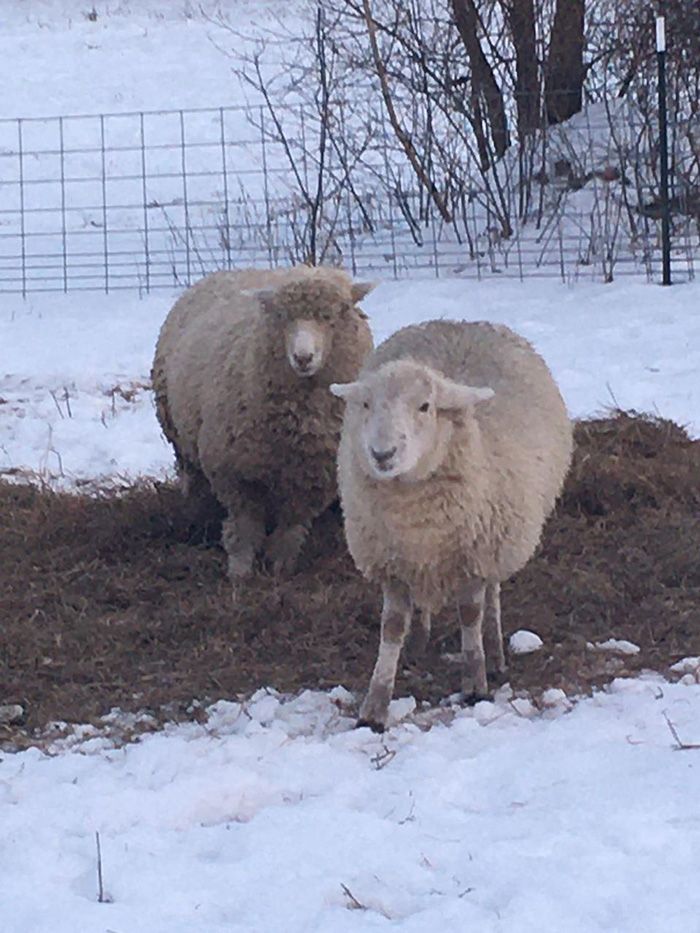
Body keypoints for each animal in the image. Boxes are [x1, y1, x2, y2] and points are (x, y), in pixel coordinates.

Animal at [152, 266, 374, 589]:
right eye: (281, 316)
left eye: (336, 313)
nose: (303, 357)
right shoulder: (234, 473)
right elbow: (244, 527)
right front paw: (240, 572)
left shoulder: (312, 479)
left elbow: (290, 527)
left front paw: (279, 566)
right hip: (175, 429)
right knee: (190, 476)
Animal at [330, 319, 572, 732]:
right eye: (365, 404)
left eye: (425, 406)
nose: (382, 454)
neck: (415, 520)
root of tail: (460, 321)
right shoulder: (393, 565)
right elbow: (391, 627)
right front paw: (375, 706)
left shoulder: (474, 558)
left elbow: (470, 616)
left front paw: (476, 684)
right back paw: (419, 641)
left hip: (497, 544)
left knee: (492, 596)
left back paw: (495, 650)